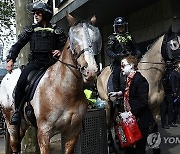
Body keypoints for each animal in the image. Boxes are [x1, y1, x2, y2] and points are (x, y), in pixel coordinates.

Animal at [0, 13, 101, 153]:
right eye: (73, 40)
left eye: (95, 39)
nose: (90, 70)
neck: (64, 90)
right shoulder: (44, 133)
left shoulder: (73, 132)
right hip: (10, 121)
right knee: (14, 144)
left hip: (24, 123)